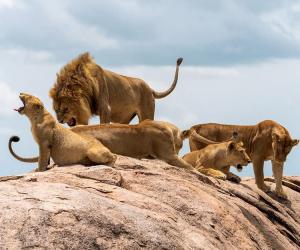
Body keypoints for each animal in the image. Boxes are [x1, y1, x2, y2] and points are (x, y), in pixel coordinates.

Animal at [49, 53, 183, 127]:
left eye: (66, 109)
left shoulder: (105, 109)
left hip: (147, 114)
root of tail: (150, 88)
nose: (60, 121)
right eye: (56, 109)